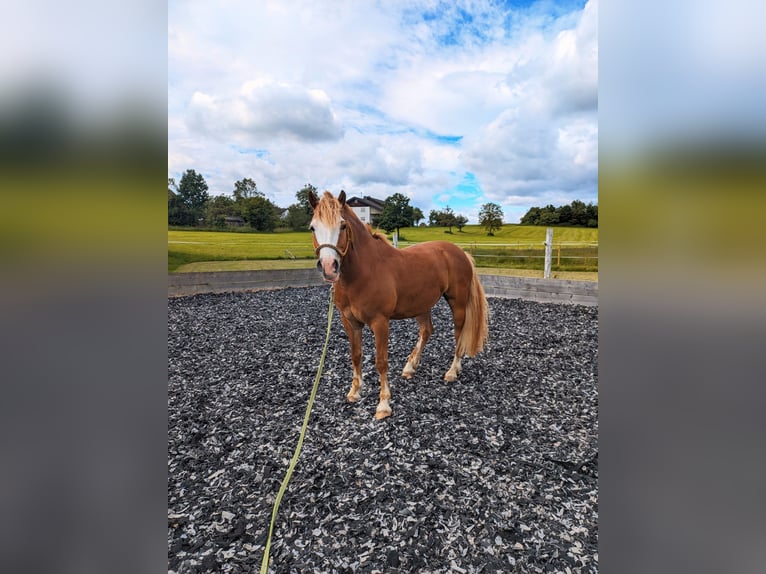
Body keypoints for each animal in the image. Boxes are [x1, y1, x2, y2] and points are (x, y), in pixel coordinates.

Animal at [308, 191, 488, 420]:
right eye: (312, 227)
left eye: (342, 225)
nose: (329, 267)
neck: (363, 271)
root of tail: (459, 252)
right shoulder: (349, 322)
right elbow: (356, 355)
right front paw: (355, 392)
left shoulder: (380, 322)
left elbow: (381, 361)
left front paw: (383, 405)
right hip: (421, 305)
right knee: (427, 330)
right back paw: (410, 367)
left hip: (457, 303)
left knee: (458, 334)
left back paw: (452, 371)